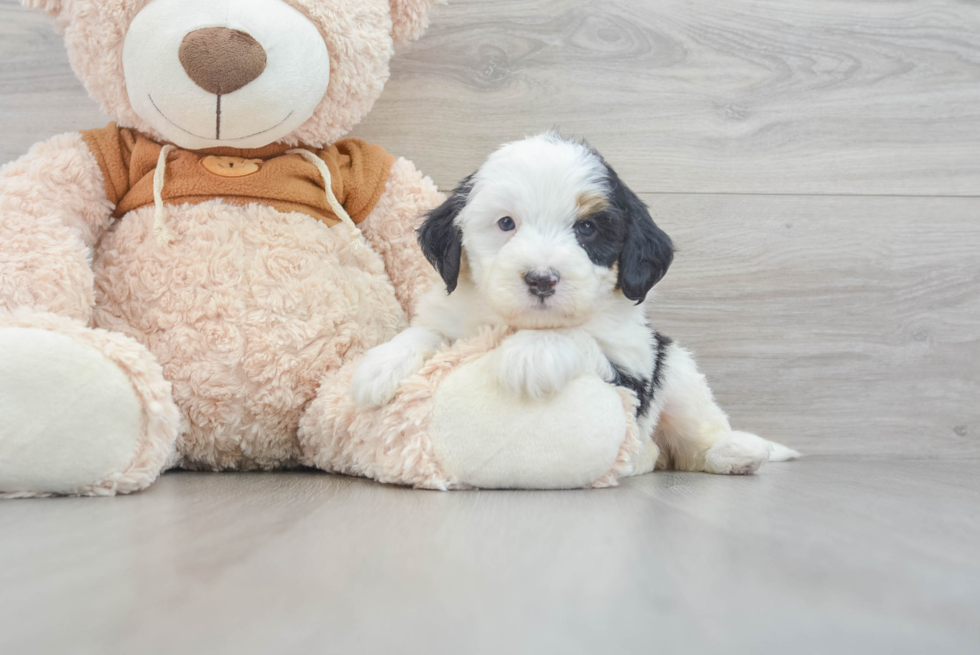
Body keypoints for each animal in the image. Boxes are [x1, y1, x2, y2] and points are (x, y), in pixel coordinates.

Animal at [350, 132, 796, 476]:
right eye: (506, 223)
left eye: (587, 227)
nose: (541, 279)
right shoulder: (453, 317)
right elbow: (425, 333)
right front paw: (379, 365)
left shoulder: (632, 368)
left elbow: (580, 337)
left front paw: (531, 353)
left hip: (677, 371)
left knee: (696, 437)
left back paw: (736, 451)